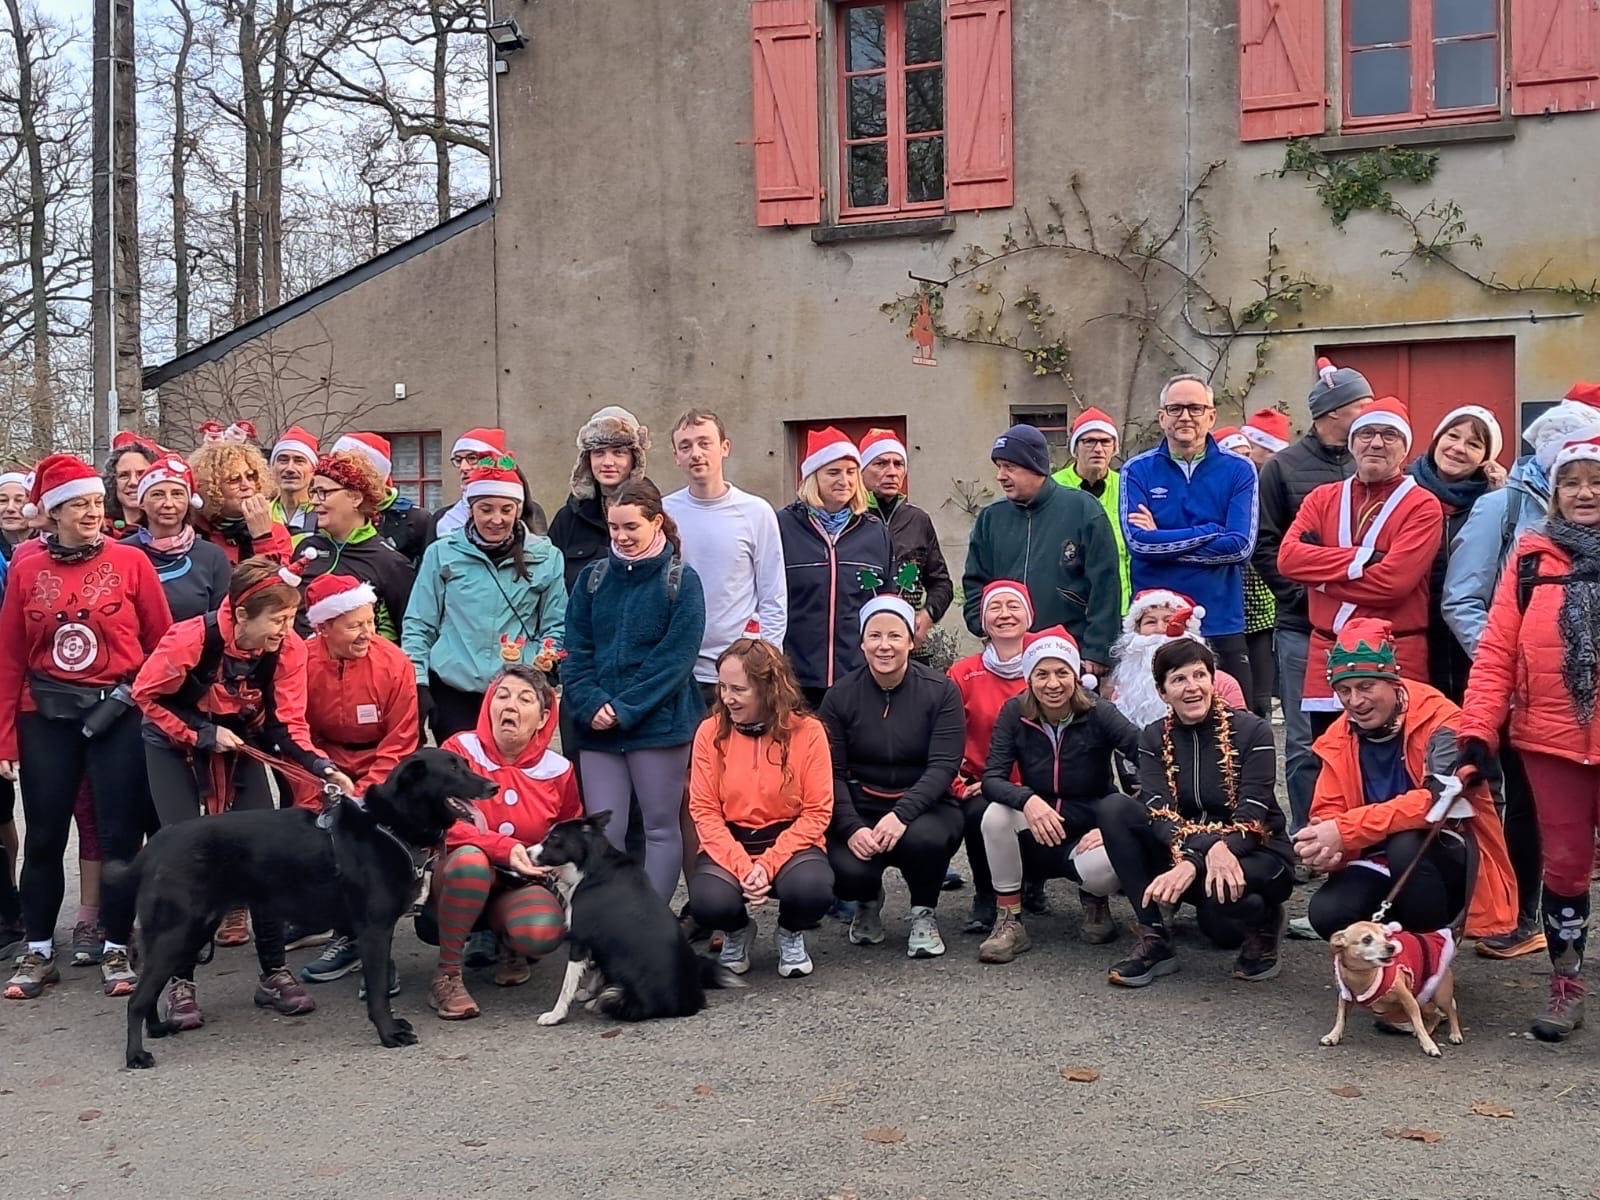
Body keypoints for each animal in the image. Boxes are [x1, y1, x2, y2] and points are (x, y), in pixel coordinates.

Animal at [110, 748, 494, 1069]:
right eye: (452, 770)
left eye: (466, 764)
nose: (492, 785)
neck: (388, 825)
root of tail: (156, 845)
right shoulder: (374, 929)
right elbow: (378, 992)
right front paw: (388, 1033)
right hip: (178, 933)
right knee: (137, 1000)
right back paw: (136, 1055)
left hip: (187, 933)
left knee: (150, 993)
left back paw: (158, 1029)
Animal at [528, 813, 743, 1024]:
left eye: (553, 839)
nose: (528, 852)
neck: (593, 865)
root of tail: (688, 1004)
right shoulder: (600, 941)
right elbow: (598, 971)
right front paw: (589, 992)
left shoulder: (580, 939)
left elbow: (567, 986)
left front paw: (556, 1015)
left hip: (618, 998)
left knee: (610, 997)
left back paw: (596, 1004)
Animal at [1321, 920, 1462, 1058]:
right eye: (1367, 939)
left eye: (1385, 937)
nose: (1391, 947)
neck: (1362, 976)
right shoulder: (1345, 997)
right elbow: (1340, 1018)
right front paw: (1333, 1036)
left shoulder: (1409, 1000)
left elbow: (1418, 1024)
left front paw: (1429, 1045)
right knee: (1435, 1016)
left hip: (1439, 997)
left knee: (1451, 1011)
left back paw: (1455, 1034)